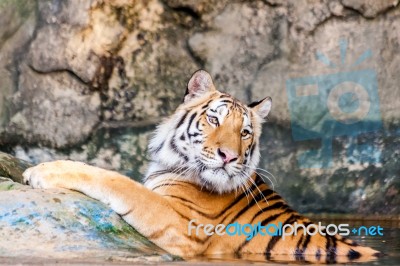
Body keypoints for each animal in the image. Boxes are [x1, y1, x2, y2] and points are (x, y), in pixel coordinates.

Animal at [23, 69, 380, 262]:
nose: (229, 157)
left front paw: (41, 171)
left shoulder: (182, 224)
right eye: (214, 119)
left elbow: (116, 181)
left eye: (244, 132)